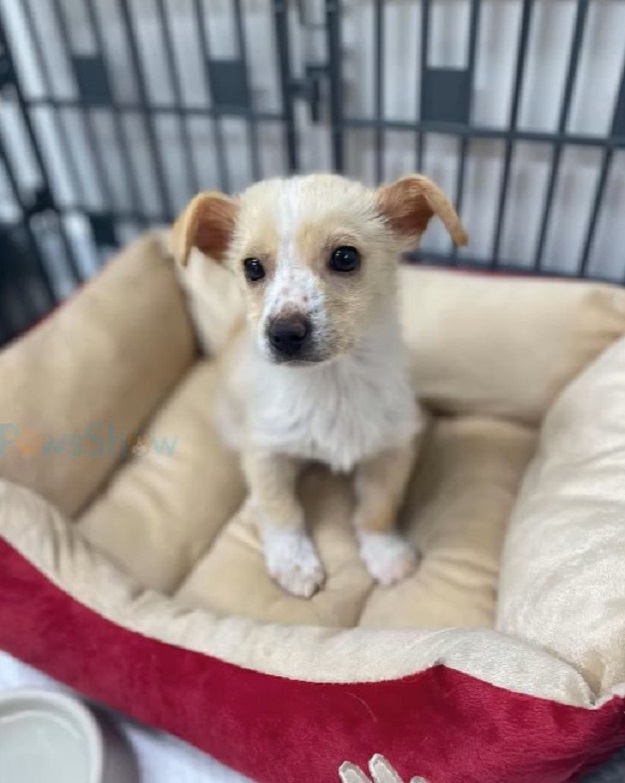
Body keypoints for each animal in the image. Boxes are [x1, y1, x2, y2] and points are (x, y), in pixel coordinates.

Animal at [168, 173, 466, 600]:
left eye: (345, 257)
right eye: (252, 267)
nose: (283, 334)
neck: (330, 383)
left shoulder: (391, 450)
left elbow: (378, 508)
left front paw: (386, 554)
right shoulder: (265, 452)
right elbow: (281, 511)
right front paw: (294, 563)